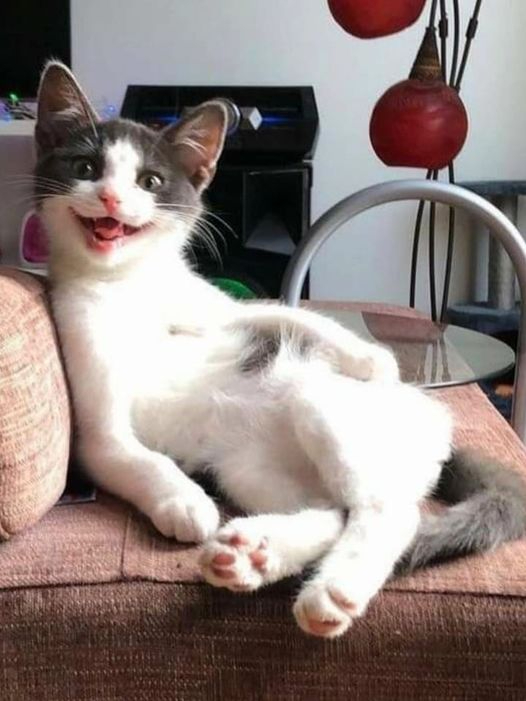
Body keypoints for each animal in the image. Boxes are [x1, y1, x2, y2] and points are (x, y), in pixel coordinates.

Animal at [34, 61, 526, 638]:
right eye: (86, 167)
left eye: (149, 181)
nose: (111, 199)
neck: (129, 283)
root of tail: (440, 430)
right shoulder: (95, 418)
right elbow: (130, 455)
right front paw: (183, 500)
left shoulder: (207, 305)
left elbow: (283, 311)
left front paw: (373, 360)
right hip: (247, 466)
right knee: (339, 511)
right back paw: (259, 556)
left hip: (317, 397)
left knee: (384, 506)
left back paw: (324, 583)